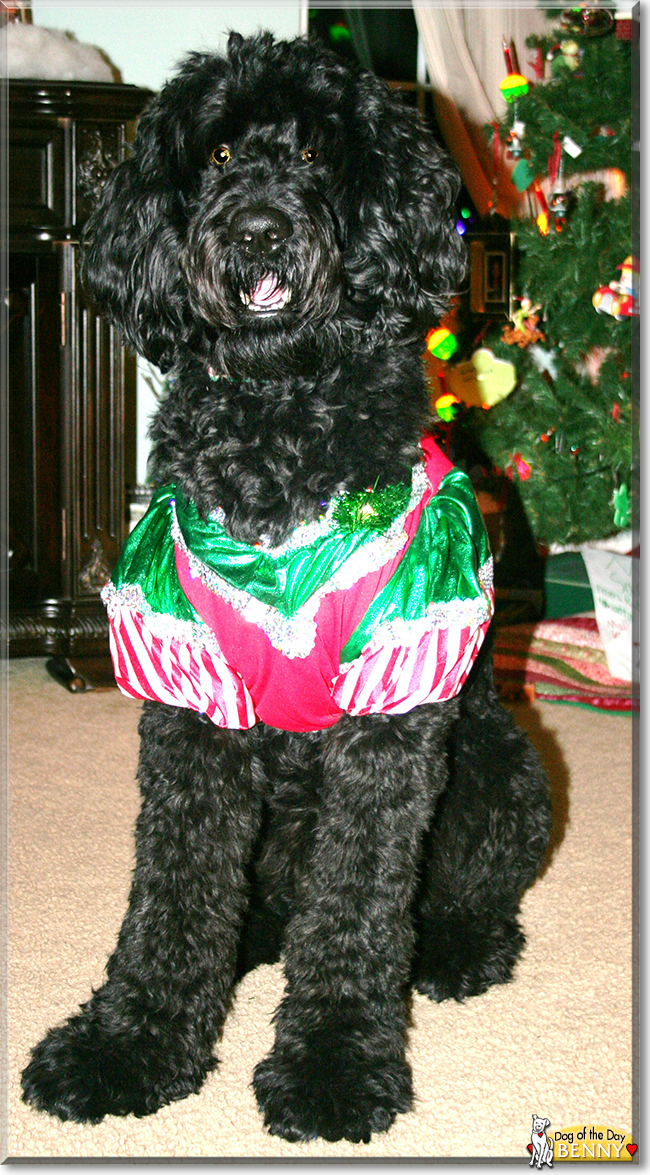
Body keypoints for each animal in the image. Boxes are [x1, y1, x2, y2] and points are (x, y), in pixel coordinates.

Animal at [20, 32, 550, 1142]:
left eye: (311, 151)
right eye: (219, 152)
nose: (258, 229)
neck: (278, 428)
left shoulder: (389, 717)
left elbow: (354, 911)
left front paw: (333, 1066)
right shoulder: (190, 704)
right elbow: (172, 895)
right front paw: (128, 1043)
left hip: (499, 766)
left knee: (470, 897)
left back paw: (455, 950)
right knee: (250, 897)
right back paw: (249, 943)